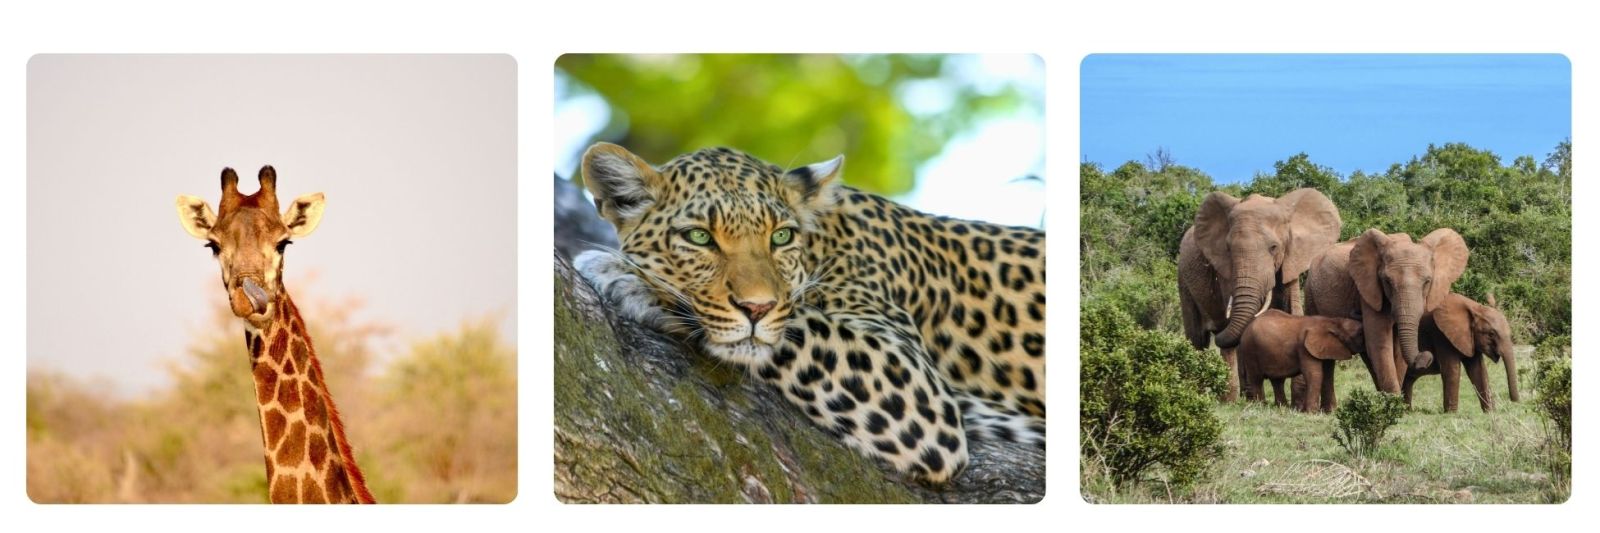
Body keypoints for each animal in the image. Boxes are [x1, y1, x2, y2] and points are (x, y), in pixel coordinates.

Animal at [572, 143, 1045, 484]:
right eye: (699, 237)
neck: (823, 242)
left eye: (780, 237)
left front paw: (627, 277)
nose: (757, 307)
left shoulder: (917, 389)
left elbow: (796, 325)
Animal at [1178, 188, 1342, 402]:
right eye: (1228, 249)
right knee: (1198, 339)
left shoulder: (1291, 260)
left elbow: (1294, 310)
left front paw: (1297, 401)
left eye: (1274, 247)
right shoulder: (1225, 271)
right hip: (1183, 278)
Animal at [1304, 228, 1469, 395]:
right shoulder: (1369, 290)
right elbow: (1380, 344)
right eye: (1387, 282)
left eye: (1427, 282)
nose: (1426, 356)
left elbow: (1397, 351)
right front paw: (1394, 400)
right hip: (1310, 294)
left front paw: (1393, 399)